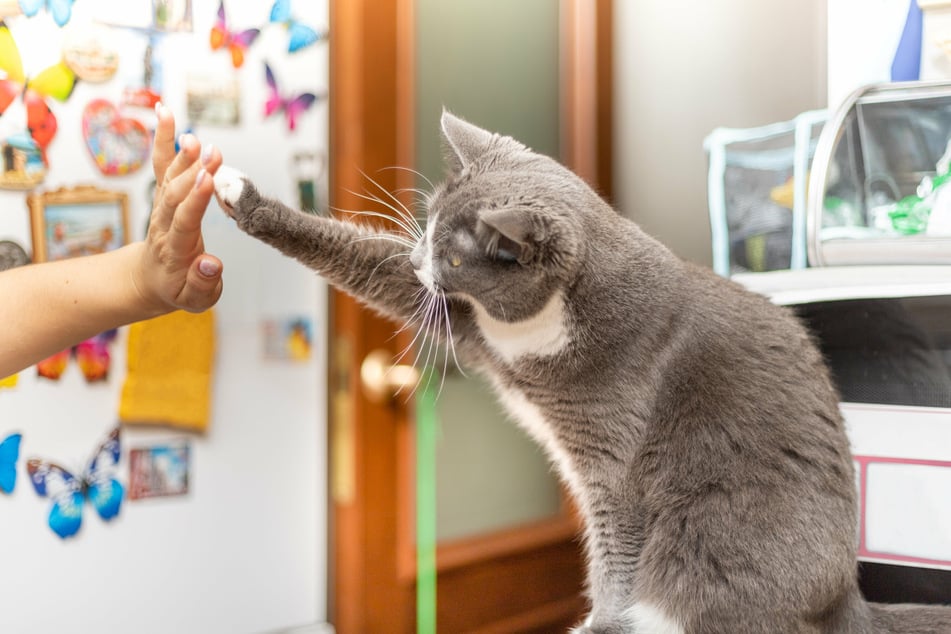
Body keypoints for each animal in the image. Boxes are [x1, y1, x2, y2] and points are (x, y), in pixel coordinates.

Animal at [216, 111, 951, 628]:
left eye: (453, 256)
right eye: (425, 229)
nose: (424, 261)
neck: (537, 328)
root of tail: (846, 600)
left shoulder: (616, 463)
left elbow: (615, 554)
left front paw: (600, 624)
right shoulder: (468, 324)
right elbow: (370, 266)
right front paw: (237, 194)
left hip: (705, 550)